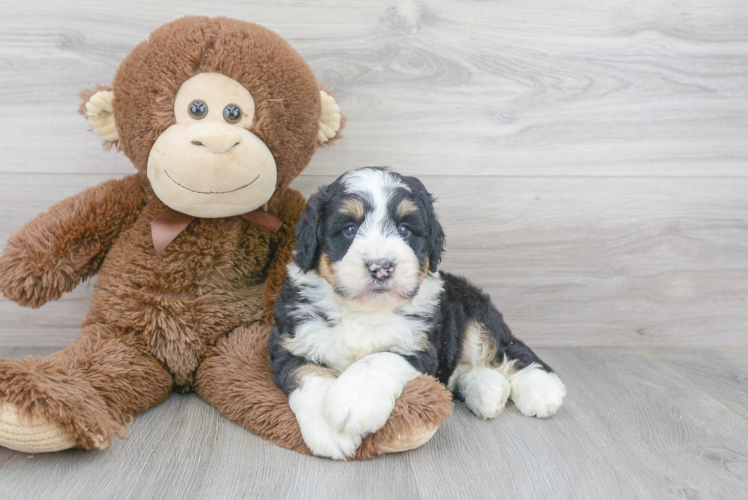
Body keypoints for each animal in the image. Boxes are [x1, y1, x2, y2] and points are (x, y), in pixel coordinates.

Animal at [270, 169, 568, 460]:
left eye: (404, 229)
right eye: (349, 229)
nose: (381, 267)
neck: (364, 308)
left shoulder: (420, 345)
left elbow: (378, 360)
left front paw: (353, 401)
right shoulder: (291, 341)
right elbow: (309, 374)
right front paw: (329, 429)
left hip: (474, 314)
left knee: (507, 350)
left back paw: (542, 388)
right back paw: (488, 391)